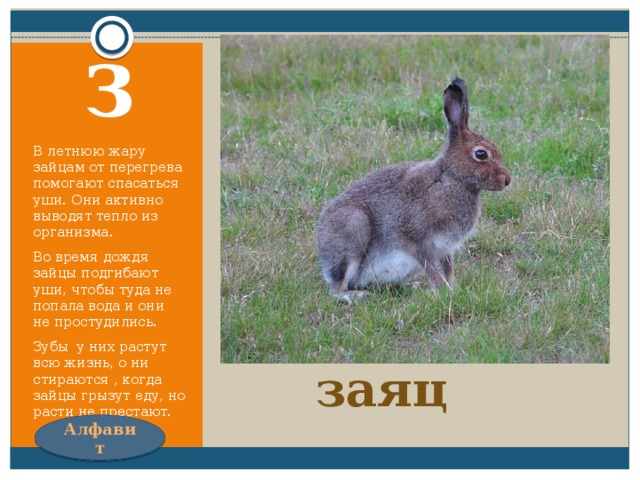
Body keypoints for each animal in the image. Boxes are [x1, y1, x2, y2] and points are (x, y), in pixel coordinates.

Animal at [315, 77, 511, 303]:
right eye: (481, 154)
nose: (507, 180)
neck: (452, 178)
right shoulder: (418, 241)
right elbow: (433, 271)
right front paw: (446, 293)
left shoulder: (444, 248)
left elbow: (448, 269)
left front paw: (453, 288)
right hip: (354, 229)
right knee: (337, 288)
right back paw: (356, 295)